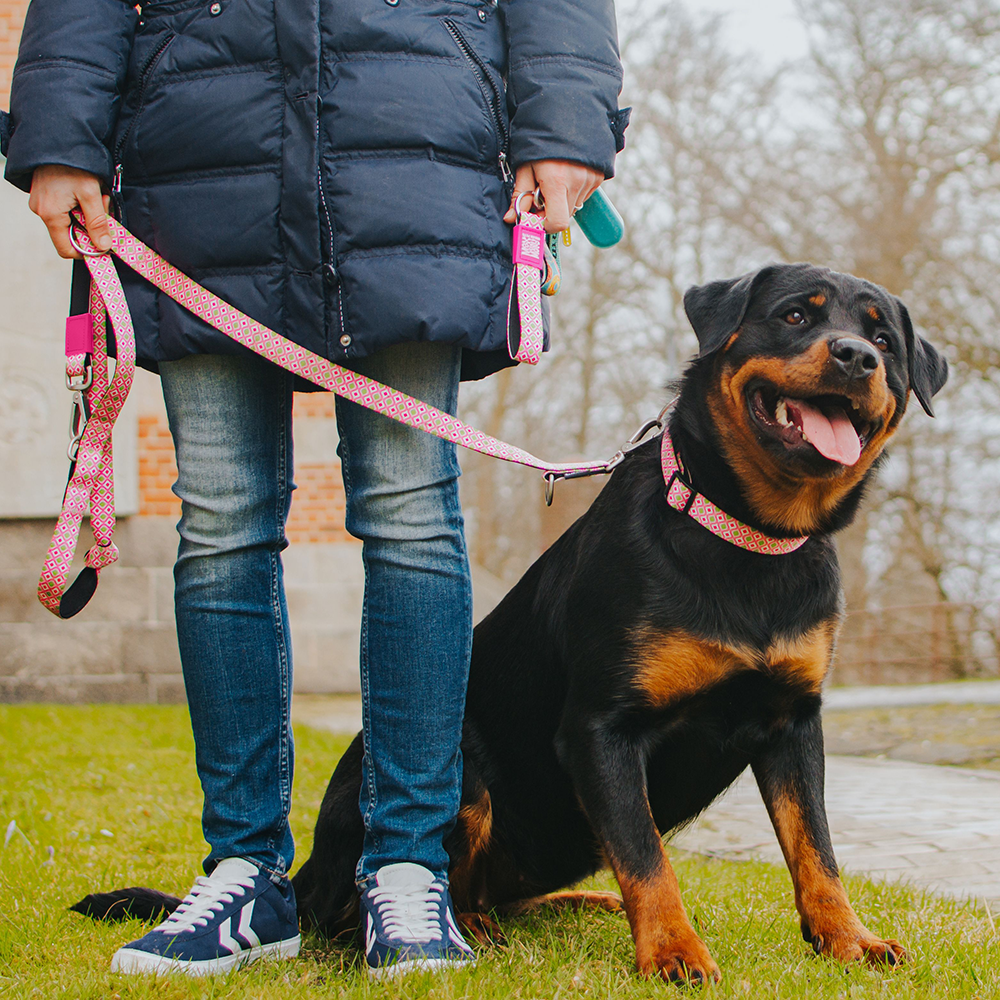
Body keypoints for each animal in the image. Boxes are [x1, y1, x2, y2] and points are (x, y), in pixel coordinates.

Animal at [76, 264, 944, 984]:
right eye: (796, 315)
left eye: (883, 339)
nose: (854, 357)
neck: (744, 534)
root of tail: (309, 873)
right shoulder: (602, 727)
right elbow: (648, 856)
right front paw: (672, 952)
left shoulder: (793, 720)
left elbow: (817, 850)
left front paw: (849, 940)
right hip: (460, 767)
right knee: (365, 905)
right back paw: (461, 928)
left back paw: (570, 907)